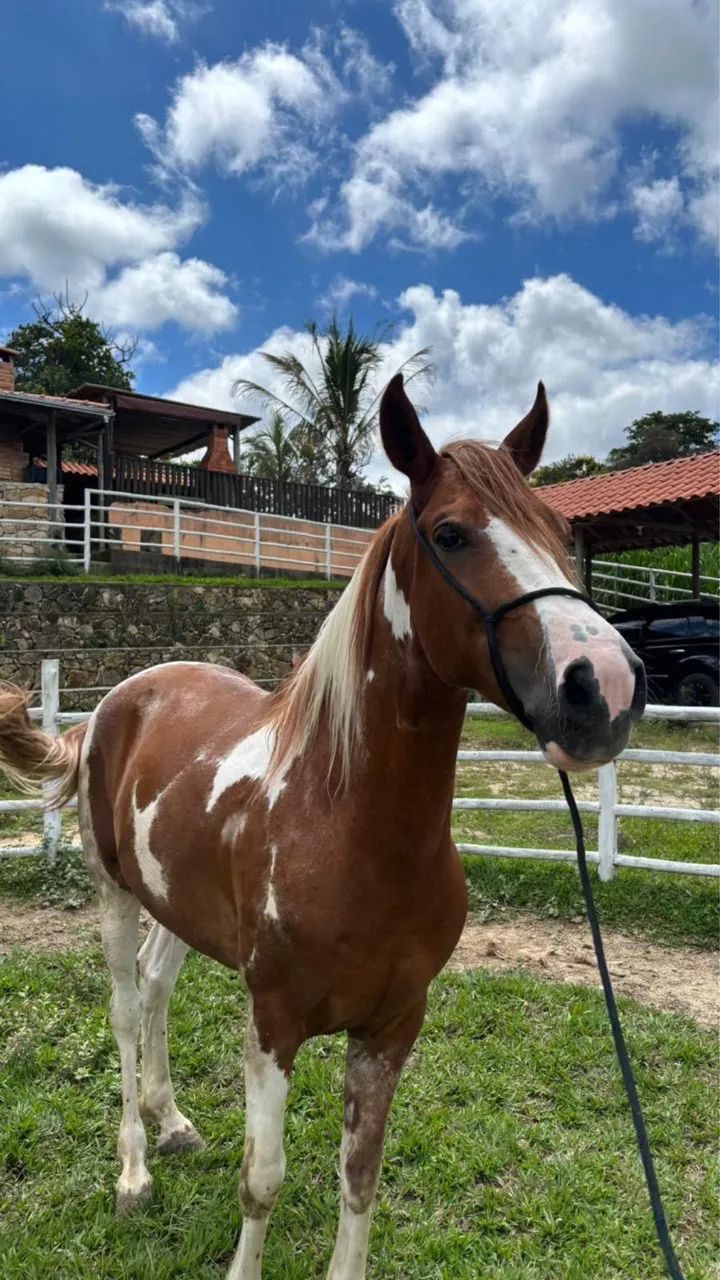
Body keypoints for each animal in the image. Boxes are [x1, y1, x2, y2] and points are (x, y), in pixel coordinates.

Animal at [0, 375, 645, 1279]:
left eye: (559, 533)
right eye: (451, 533)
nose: (607, 686)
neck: (354, 830)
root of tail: (121, 698)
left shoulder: (392, 1026)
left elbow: (360, 1174)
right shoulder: (275, 1023)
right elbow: (262, 1179)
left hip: (177, 904)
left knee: (158, 986)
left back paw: (172, 1123)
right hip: (114, 891)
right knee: (127, 1009)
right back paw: (132, 1170)